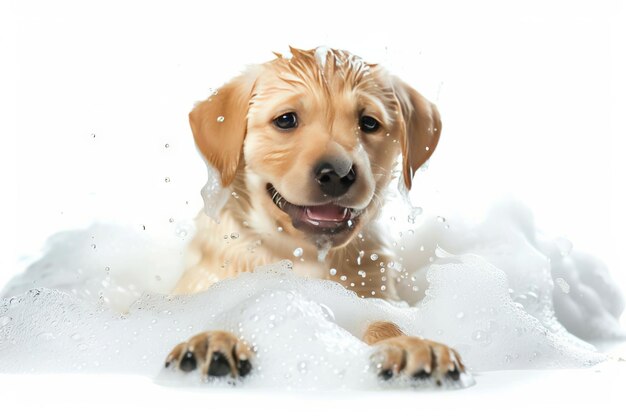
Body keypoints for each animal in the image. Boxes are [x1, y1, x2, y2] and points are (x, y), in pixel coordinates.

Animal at [165, 47, 464, 382]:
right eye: (285, 120)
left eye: (369, 123)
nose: (337, 173)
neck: (302, 259)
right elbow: (224, 309)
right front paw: (213, 340)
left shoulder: (376, 299)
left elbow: (383, 321)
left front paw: (410, 344)